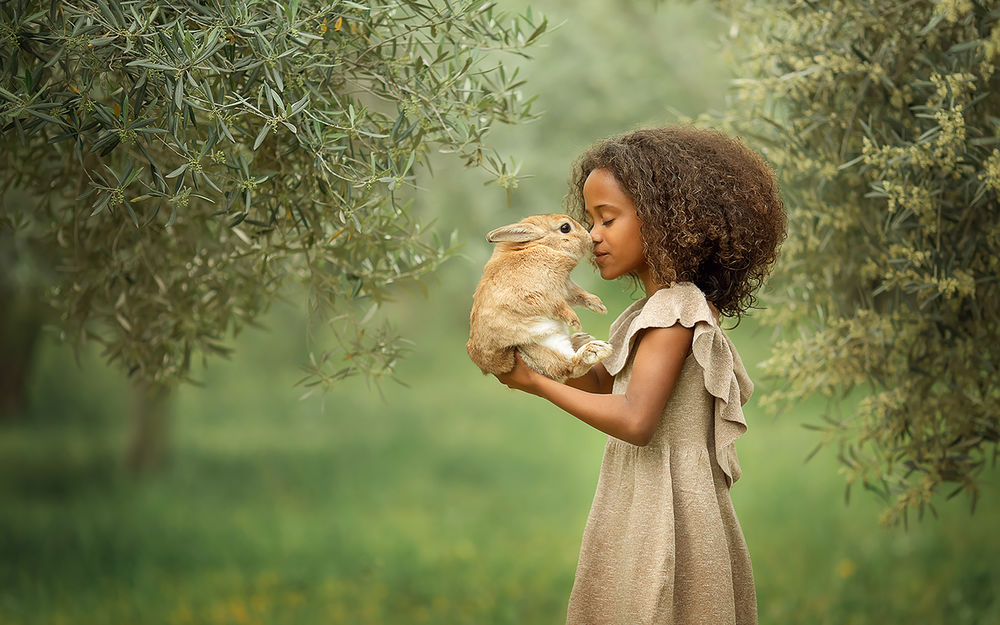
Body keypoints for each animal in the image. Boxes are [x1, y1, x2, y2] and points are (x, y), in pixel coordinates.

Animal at [464, 213, 612, 380]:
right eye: (565, 228)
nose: (589, 238)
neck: (542, 246)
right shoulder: (538, 294)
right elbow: (559, 306)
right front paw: (575, 322)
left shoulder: (565, 287)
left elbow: (578, 295)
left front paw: (599, 306)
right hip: (534, 345)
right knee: (566, 367)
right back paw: (595, 349)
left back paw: (582, 339)